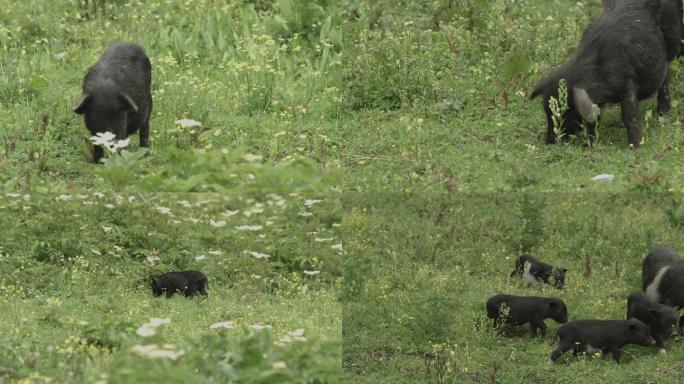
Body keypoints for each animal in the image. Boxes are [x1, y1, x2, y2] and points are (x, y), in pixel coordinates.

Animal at [532, 0, 672, 147]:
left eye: (567, 111)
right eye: (547, 112)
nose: (549, 141)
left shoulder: (629, 83)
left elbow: (628, 115)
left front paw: (636, 145)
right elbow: (594, 121)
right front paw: (589, 145)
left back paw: (662, 116)